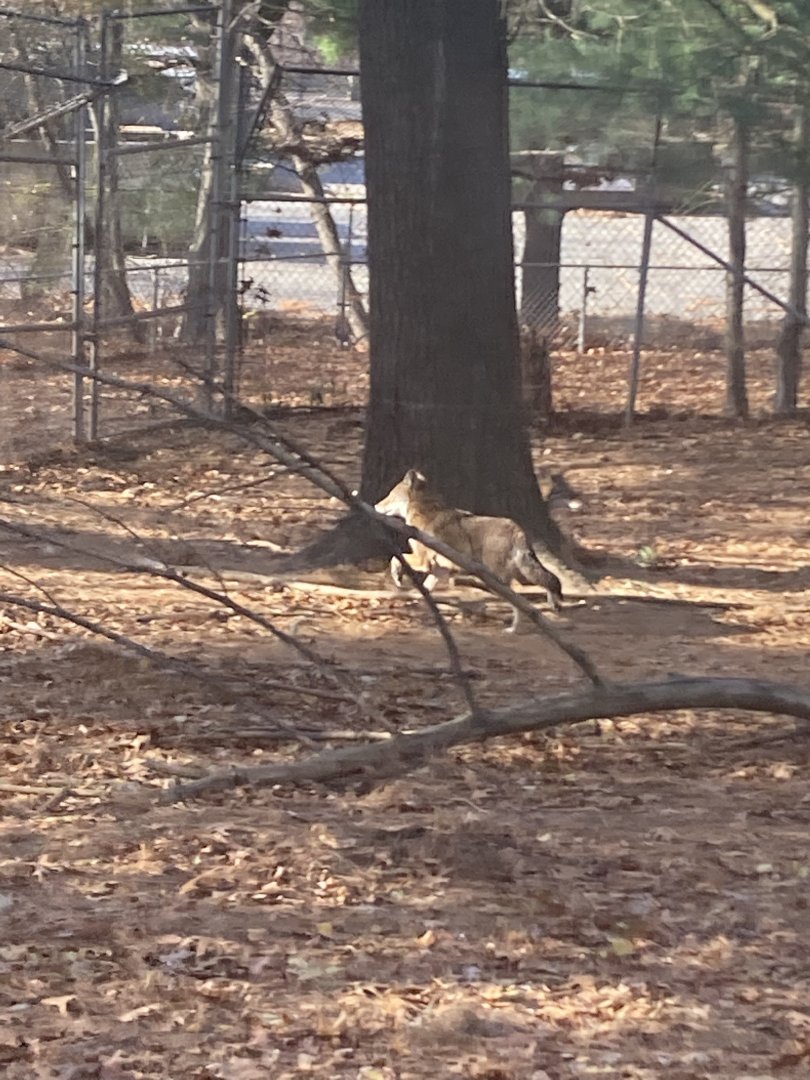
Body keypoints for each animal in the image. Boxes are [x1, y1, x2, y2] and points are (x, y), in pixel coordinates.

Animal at [374, 469, 564, 631]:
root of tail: (516, 528)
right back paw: (553, 604)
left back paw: (514, 628)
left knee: (522, 600)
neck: (426, 511)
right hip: (520, 575)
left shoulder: (423, 561)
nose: (375, 506)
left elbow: (395, 557)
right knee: (546, 582)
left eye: (389, 495)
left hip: (498, 580)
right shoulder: (440, 570)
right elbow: (424, 592)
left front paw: (397, 577)